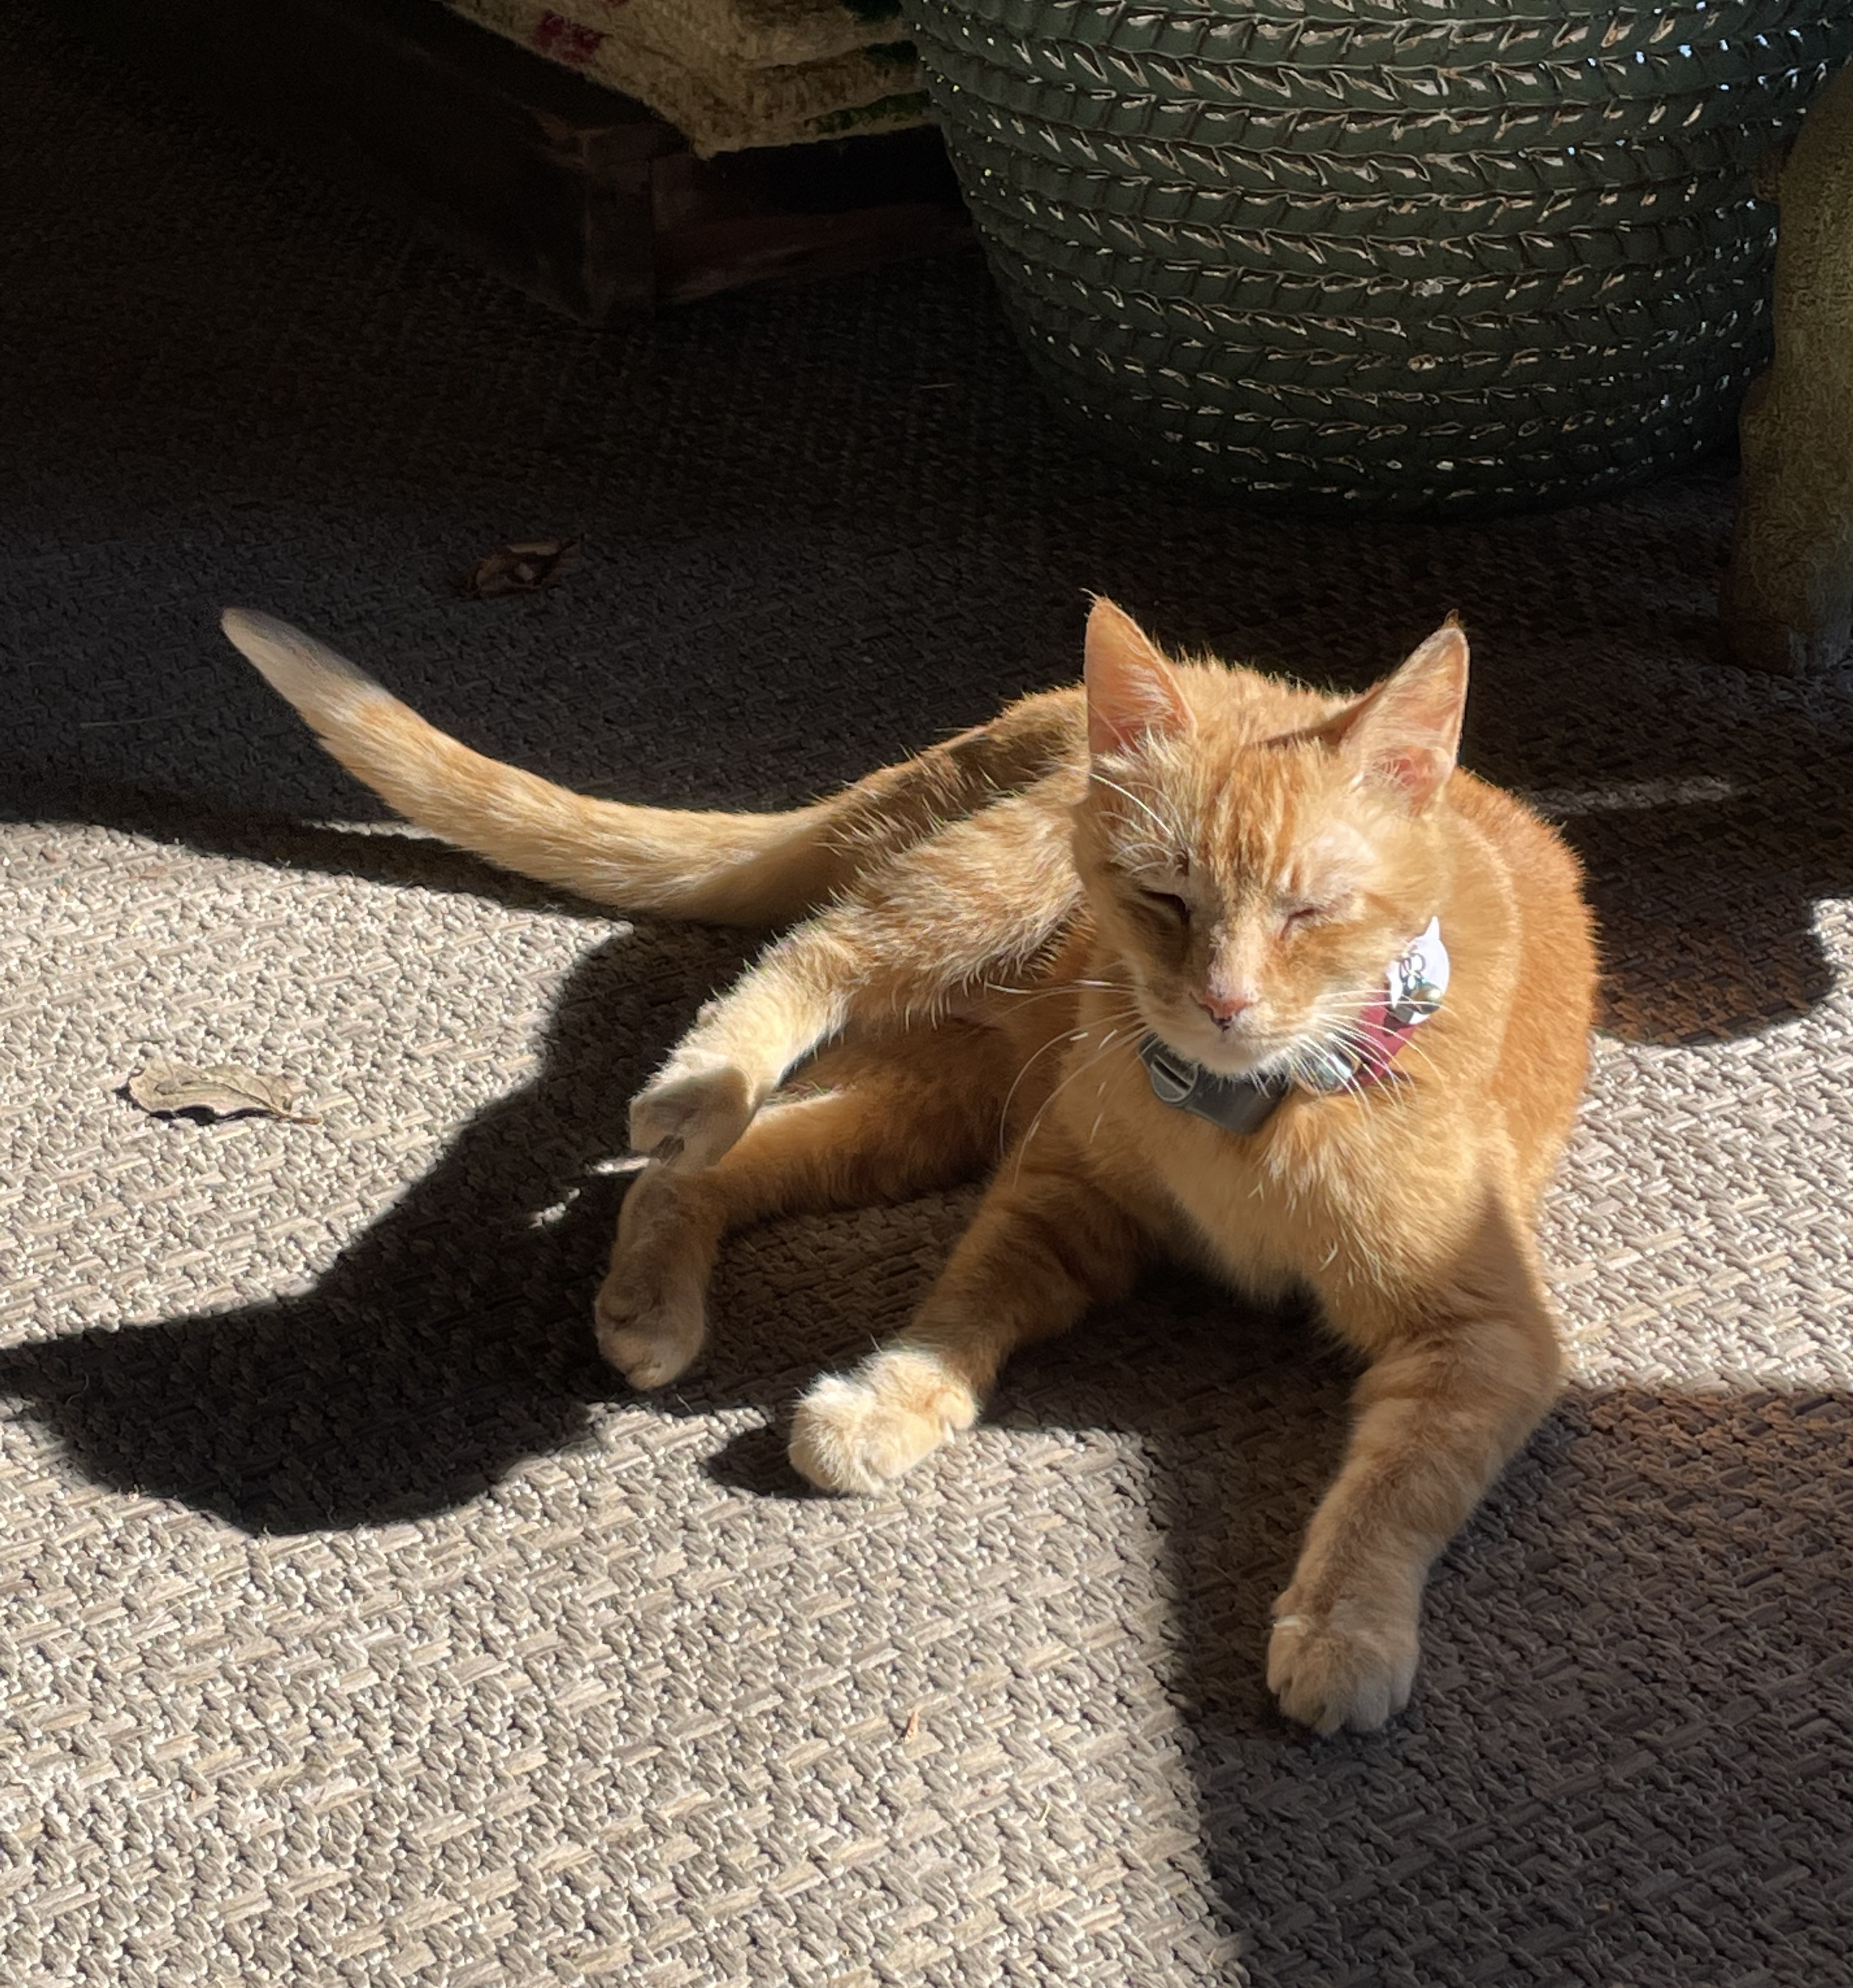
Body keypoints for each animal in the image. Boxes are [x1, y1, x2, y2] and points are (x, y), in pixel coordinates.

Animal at [224, 596, 1598, 1733]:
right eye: (1164, 898)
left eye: (1310, 910)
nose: (1219, 999)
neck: (1239, 1110)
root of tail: (1033, 709)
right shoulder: (1058, 1191)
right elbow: (961, 1306)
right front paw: (892, 1399)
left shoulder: (1484, 1336)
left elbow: (1397, 1487)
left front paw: (1345, 1627)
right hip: (976, 902)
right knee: (813, 954)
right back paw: (699, 1080)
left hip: (935, 1100)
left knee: (680, 1173)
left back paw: (652, 1286)